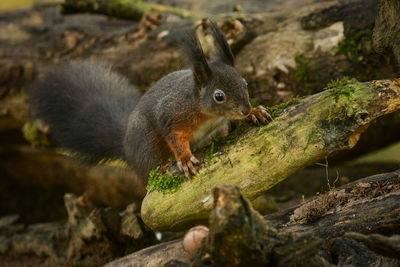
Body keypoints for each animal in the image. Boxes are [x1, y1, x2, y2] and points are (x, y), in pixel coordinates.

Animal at [28, 21, 272, 182]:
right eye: (218, 96)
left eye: (245, 83)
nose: (244, 109)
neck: (207, 112)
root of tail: (126, 147)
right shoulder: (173, 114)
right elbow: (174, 136)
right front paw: (185, 159)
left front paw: (256, 113)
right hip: (146, 141)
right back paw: (162, 169)